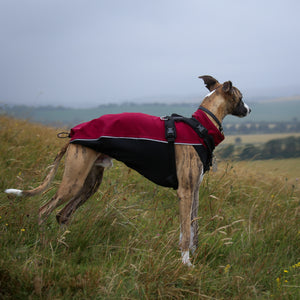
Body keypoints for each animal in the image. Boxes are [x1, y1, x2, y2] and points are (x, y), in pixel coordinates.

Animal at [5, 75, 251, 268]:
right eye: (241, 96)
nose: (250, 109)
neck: (201, 126)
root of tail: (73, 134)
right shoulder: (185, 191)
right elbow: (185, 232)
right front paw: (185, 264)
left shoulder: (195, 191)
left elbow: (193, 229)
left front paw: (192, 258)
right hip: (73, 182)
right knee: (44, 210)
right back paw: (43, 243)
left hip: (90, 183)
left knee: (63, 214)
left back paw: (61, 244)